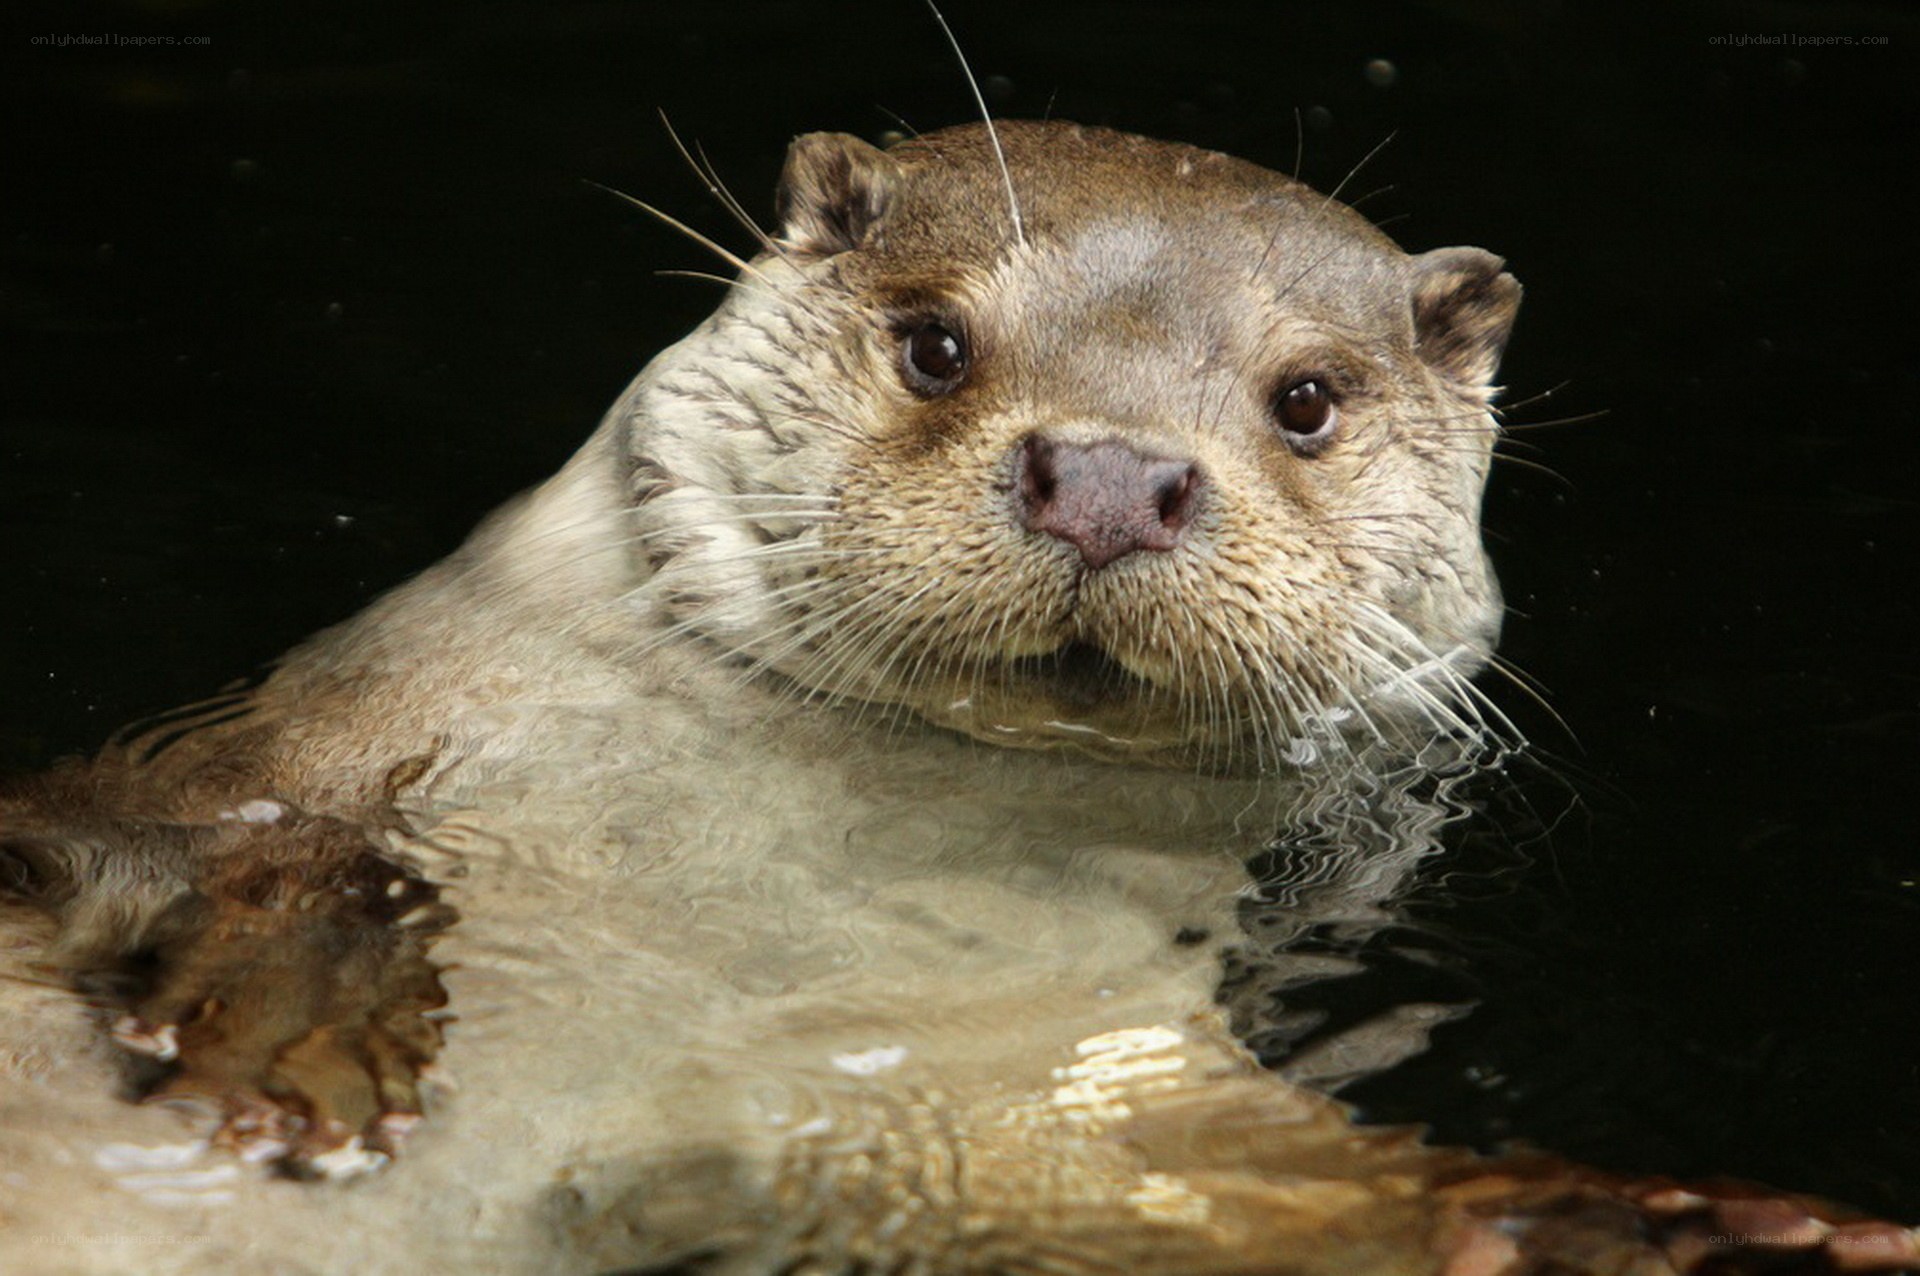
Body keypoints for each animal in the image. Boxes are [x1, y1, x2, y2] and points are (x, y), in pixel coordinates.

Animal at [2, 122, 1911, 1274]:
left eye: (1305, 399)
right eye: (933, 342)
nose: (1114, 478)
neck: (720, 924)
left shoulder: (997, 1070)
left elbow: (1181, 1182)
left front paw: (1636, 1229)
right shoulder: (279, 748)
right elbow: (199, 837)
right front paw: (300, 1027)